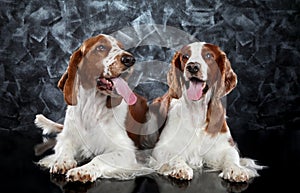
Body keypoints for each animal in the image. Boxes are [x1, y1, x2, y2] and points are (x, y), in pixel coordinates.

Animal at [34, 34, 151, 183]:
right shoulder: (66, 136)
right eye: (100, 47)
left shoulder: (125, 151)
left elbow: (99, 158)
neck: (91, 106)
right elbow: (65, 148)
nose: (130, 59)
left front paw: (82, 170)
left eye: (121, 47)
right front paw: (62, 161)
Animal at [151, 41, 264, 182]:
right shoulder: (161, 147)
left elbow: (231, 156)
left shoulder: (225, 145)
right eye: (185, 56)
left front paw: (236, 169)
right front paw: (180, 168)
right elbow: (175, 155)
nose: (192, 67)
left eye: (209, 55)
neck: (197, 110)